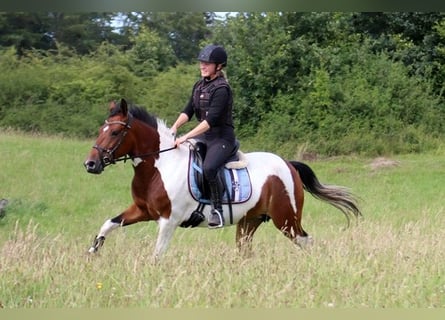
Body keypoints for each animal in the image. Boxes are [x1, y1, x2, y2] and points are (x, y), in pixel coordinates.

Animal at [83, 99, 360, 262]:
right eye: (100, 130)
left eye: (115, 132)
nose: (90, 164)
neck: (158, 167)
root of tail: (289, 165)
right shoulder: (142, 210)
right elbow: (108, 224)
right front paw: (92, 252)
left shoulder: (168, 220)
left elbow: (157, 255)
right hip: (250, 221)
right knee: (246, 250)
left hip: (286, 219)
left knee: (305, 241)